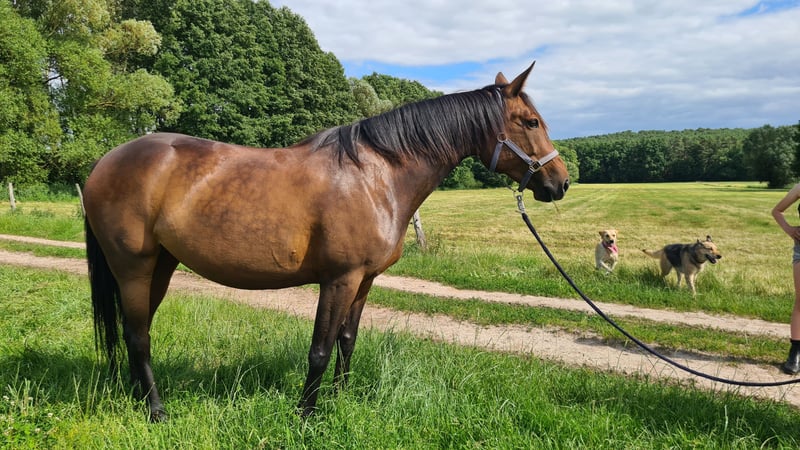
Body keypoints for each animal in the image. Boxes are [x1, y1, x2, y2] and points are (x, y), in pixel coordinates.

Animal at [83, 63, 569, 421]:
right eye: (530, 121)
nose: (560, 183)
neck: (376, 175)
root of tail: (103, 164)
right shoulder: (339, 279)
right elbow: (319, 348)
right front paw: (305, 415)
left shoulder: (364, 280)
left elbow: (347, 340)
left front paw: (338, 400)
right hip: (134, 267)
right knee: (138, 336)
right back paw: (157, 411)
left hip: (161, 266)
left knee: (134, 331)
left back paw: (137, 397)